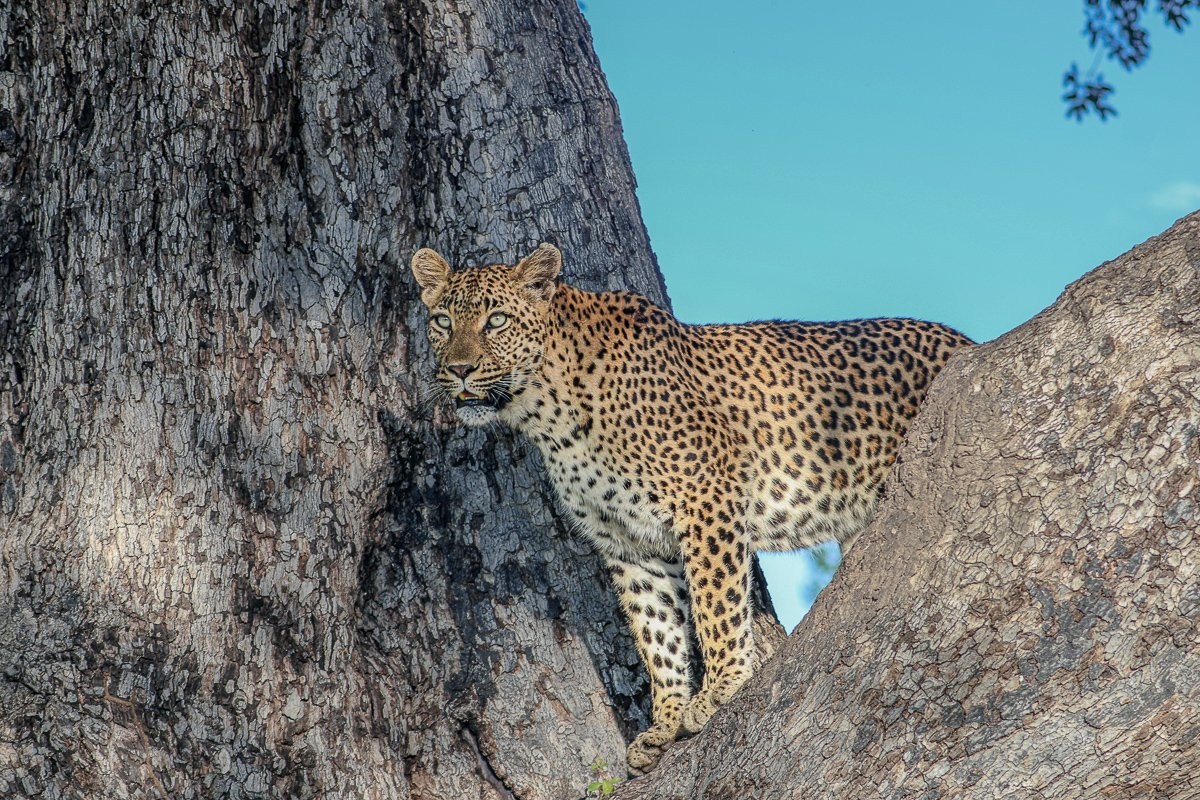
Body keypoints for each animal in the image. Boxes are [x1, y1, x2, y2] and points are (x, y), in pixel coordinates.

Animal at [410, 242, 973, 773]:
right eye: (442, 322)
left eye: (496, 320)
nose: (459, 370)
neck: (548, 413)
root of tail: (967, 343)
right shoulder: (629, 543)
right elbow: (656, 633)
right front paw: (665, 721)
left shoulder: (707, 499)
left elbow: (715, 604)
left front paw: (722, 688)